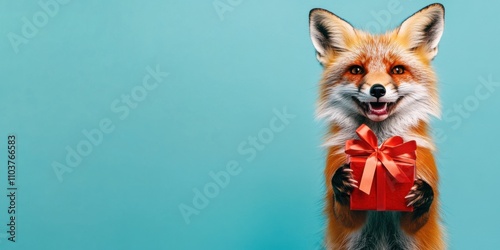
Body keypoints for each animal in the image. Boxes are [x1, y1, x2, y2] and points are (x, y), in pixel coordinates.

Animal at [308, 3, 446, 250]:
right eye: (356, 70)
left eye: (397, 70)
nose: (378, 90)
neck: (379, 143)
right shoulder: (346, 220)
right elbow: (343, 211)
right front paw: (341, 182)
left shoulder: (416, 224)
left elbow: (421, 215)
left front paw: (423, 194)